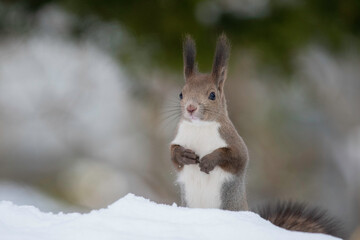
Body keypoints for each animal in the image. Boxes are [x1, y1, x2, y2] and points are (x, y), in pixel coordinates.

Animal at [170, 33, 342, 238]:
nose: (190, 108)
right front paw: (184, 155)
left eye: (212, 95)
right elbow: (173, 156)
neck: (200, 127)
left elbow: (237, 157)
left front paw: (209, 160)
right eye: (181, 94)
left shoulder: (234, 142)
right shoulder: (179, 138)